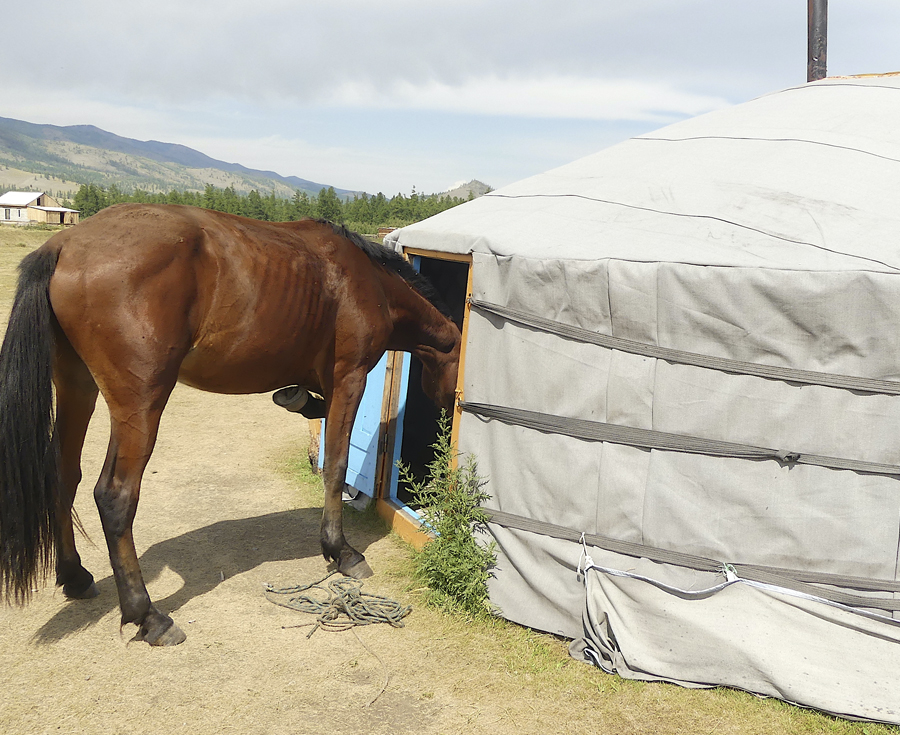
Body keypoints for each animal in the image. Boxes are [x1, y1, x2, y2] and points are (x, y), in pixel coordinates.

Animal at [0, 204, 460, 648]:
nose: (442, 420)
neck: (370, 281)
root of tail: (64, 244)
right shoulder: (350, 378)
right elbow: (336, 465)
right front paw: (341, 551)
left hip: (78, 387)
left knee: (64, 476)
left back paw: (75, 576)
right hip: (140, 405)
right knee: (115, 497)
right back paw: (149, 617)